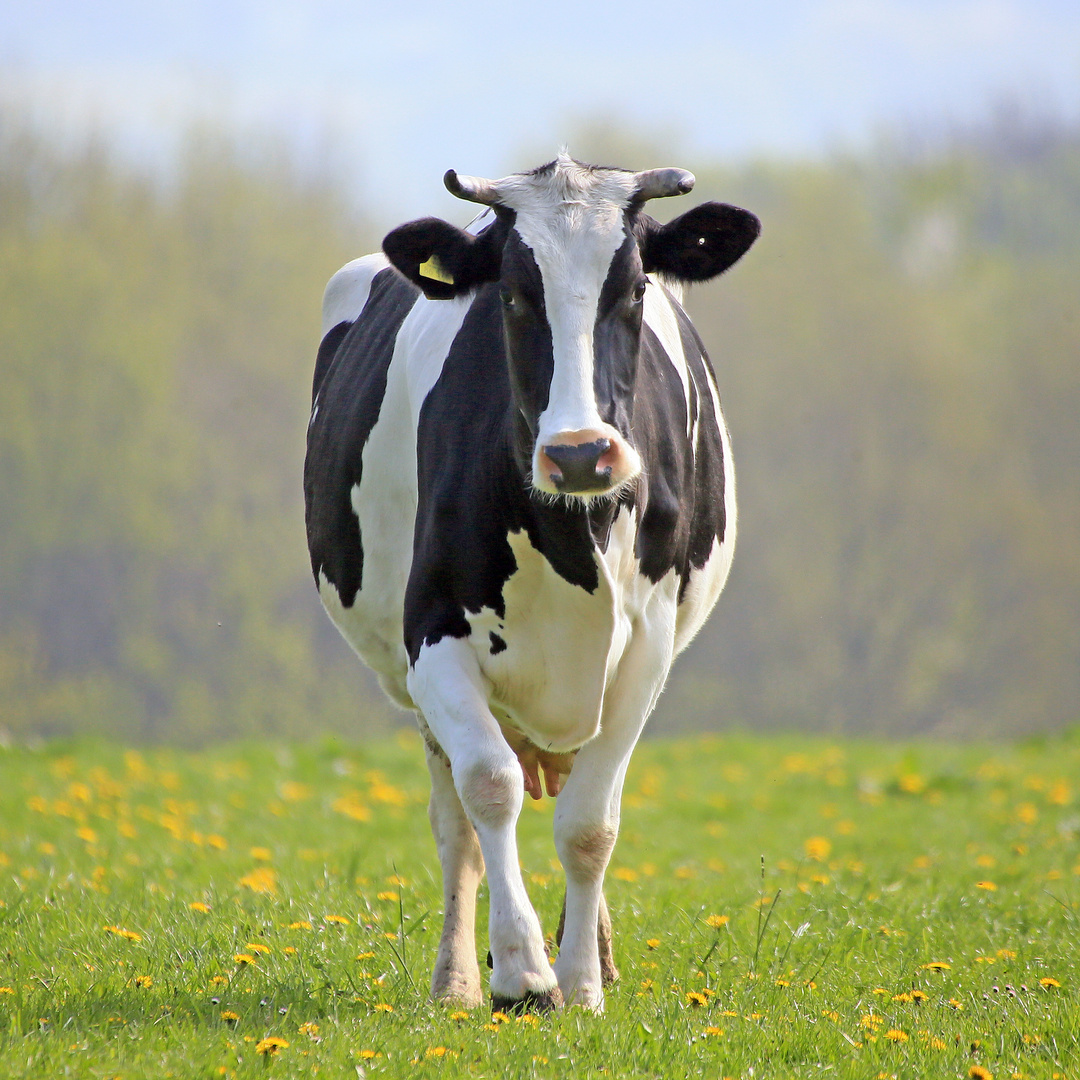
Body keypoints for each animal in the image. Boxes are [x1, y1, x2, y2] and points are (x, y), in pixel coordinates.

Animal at [304, 154, 760, 1010]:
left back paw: (598, 956)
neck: (569, 538)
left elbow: (591, 825)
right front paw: (520, 971)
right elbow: (489, 786)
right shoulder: (432, 635)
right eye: (513, 296)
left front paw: (580, 984)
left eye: (635, 290)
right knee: (456, 826)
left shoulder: (645, 652)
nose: (580, 453)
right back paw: (456, 981)